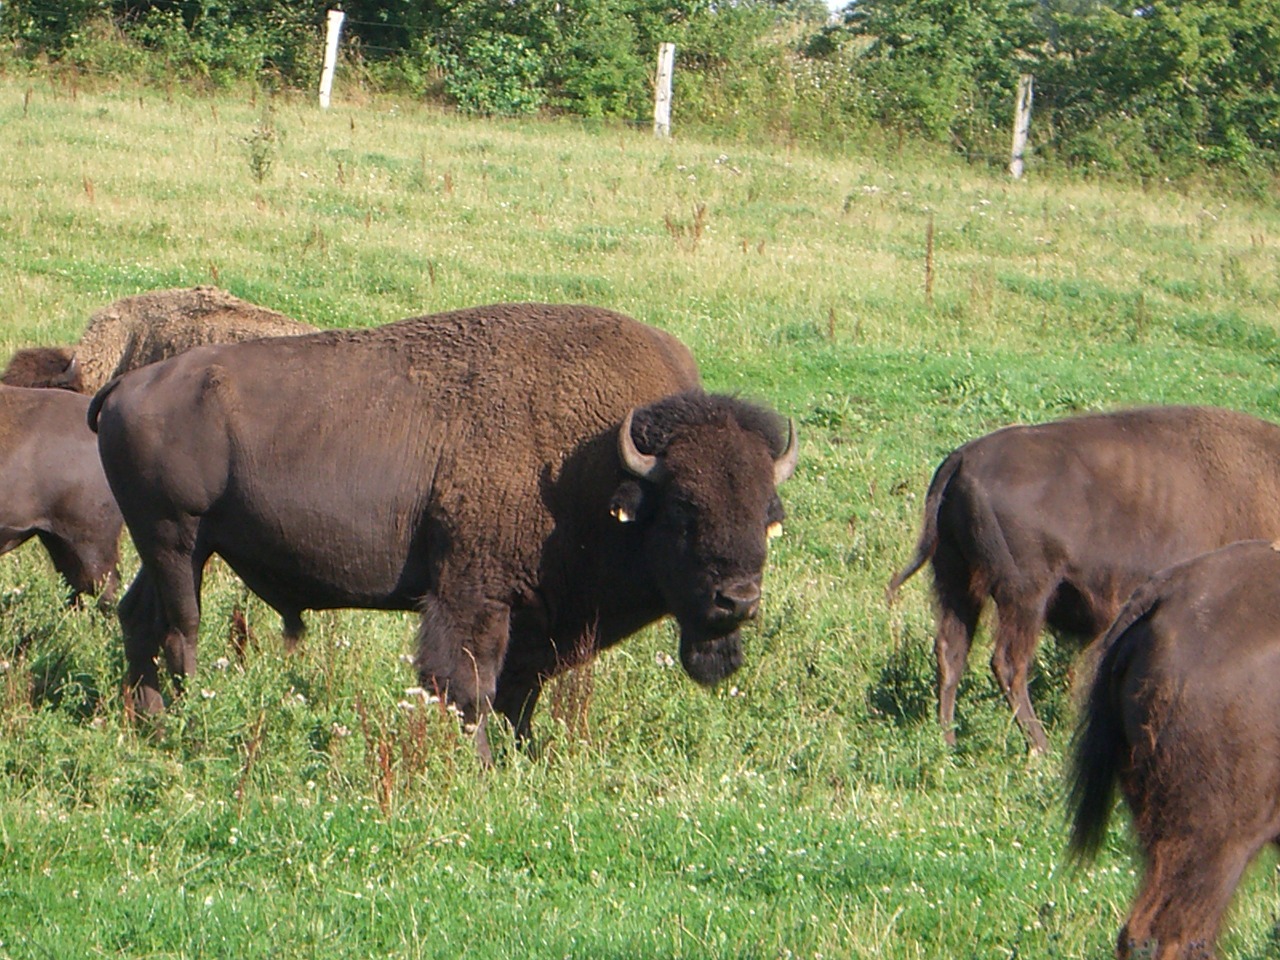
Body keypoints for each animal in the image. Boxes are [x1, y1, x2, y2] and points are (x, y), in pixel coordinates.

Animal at [92, 304, 798, 762]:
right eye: (682, 509)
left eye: (769, 512)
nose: (738, 600)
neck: (596, 462)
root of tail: (127, 382)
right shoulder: (472, 594)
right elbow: (469, 684)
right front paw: (482, 764)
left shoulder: (536, 615)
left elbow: (518, 690)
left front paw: (522, 755)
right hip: (177, 538)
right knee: (181, 628)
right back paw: (185, 718)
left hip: (173, 547)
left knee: (139, 617)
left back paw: (145, 719)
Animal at [885, 407, 1280, 752]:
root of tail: (962, 460)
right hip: (1025, 593)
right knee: (1008, 663)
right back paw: (1040, 748)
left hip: (955, 581)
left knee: (951, 652)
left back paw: (949, 742)